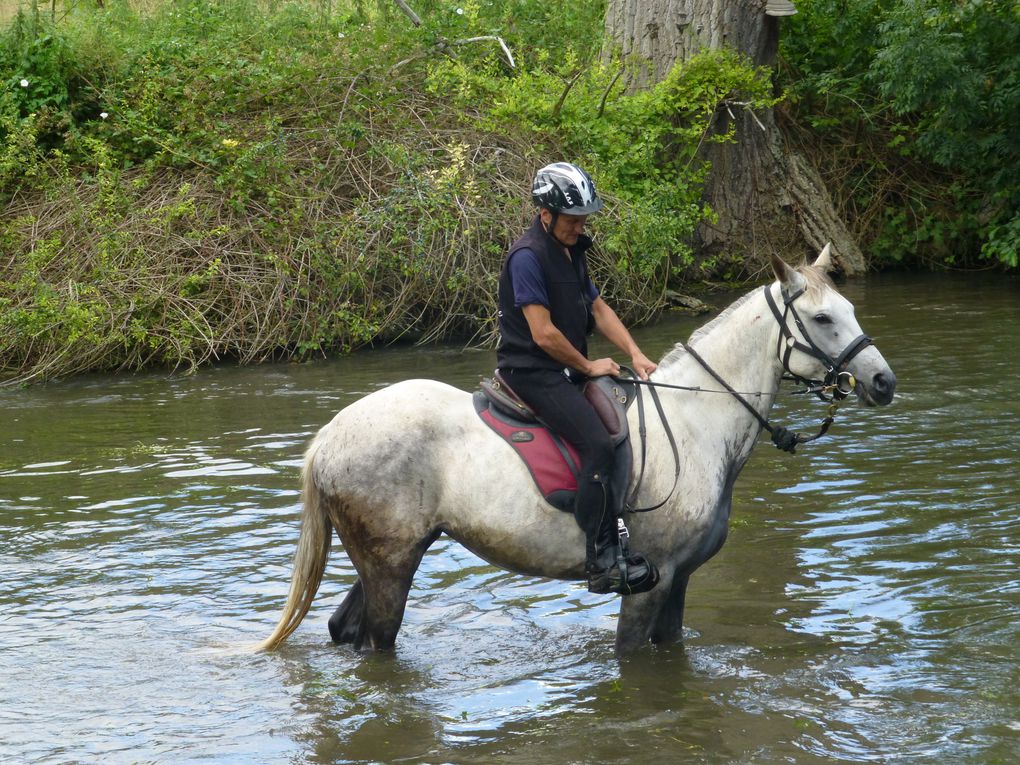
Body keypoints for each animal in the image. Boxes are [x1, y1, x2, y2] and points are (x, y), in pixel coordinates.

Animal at [255, 249, 893, 652]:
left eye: (850, 310)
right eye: (822, 317)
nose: (883, 382)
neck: (697, 424)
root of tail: (330, 436)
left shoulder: (680, 582)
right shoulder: (651, 583)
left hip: (394, 556)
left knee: (345, 630)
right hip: (389, 565)